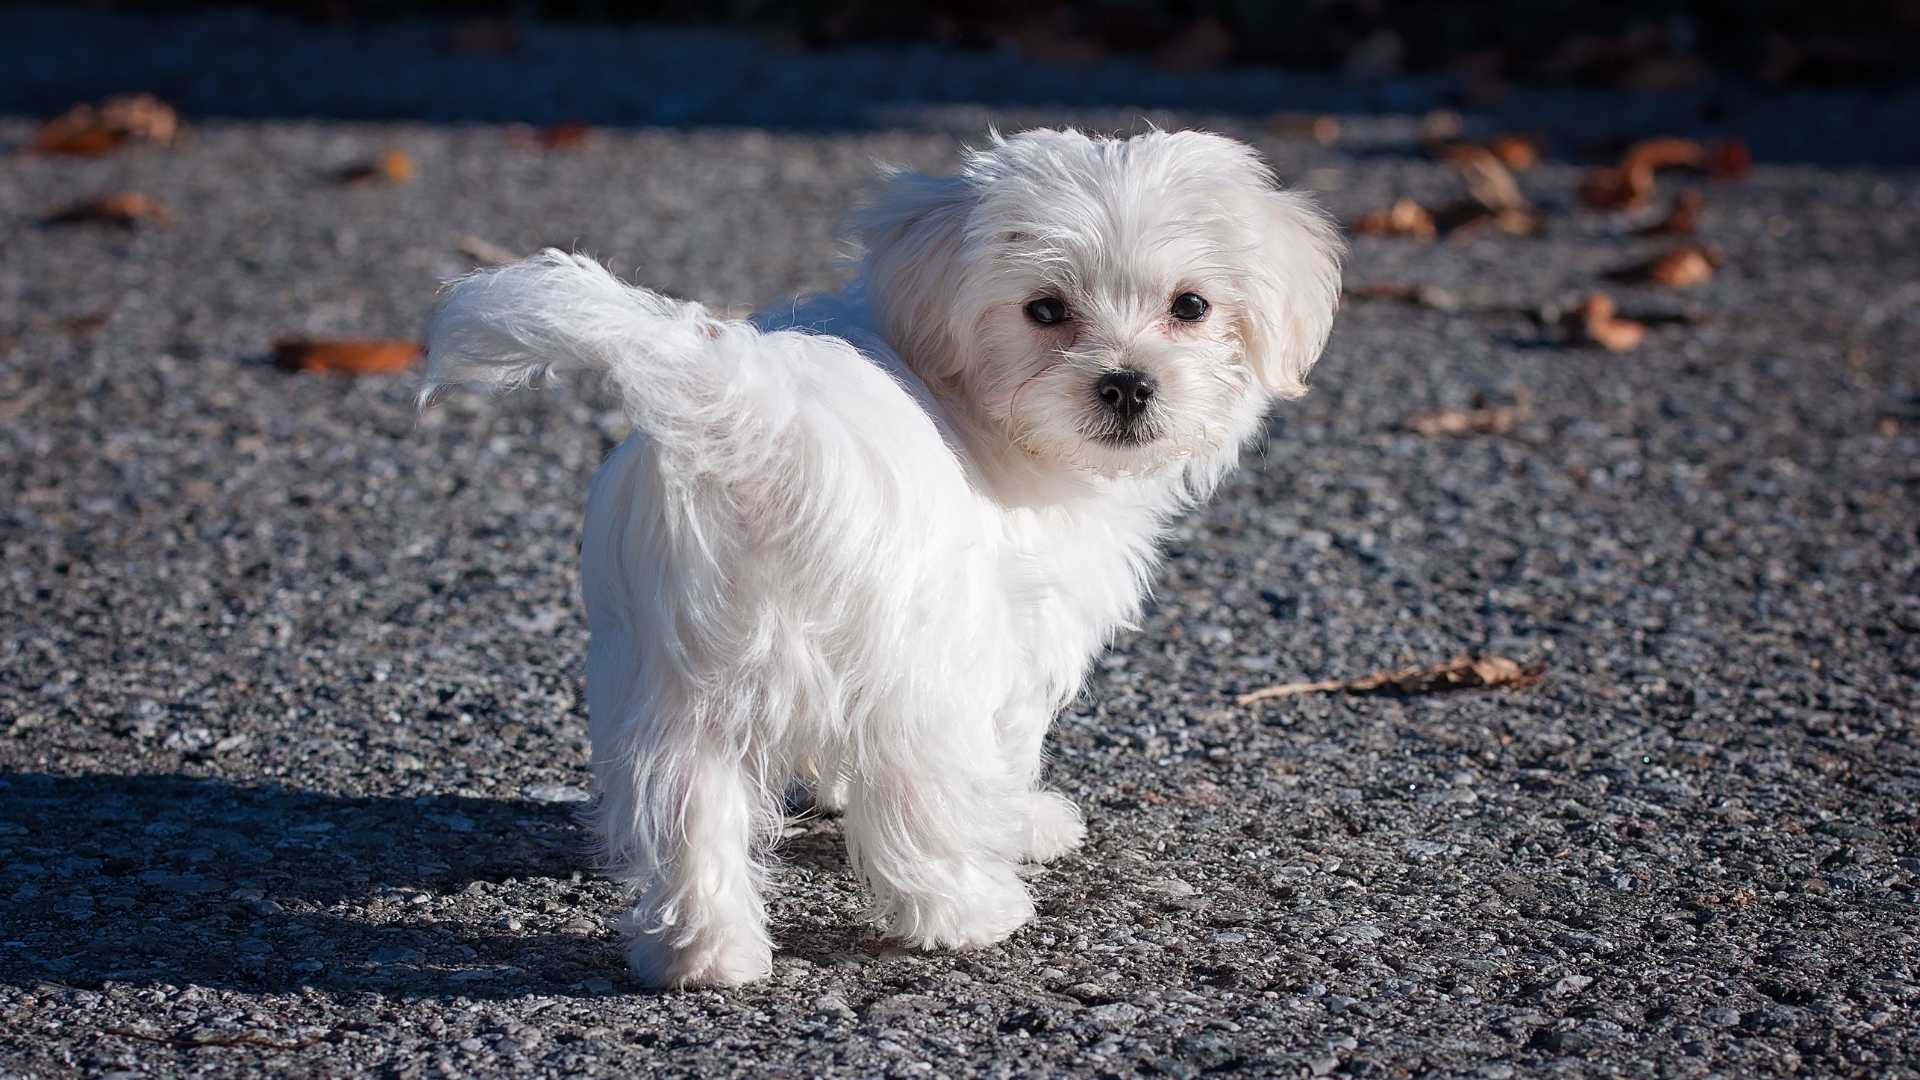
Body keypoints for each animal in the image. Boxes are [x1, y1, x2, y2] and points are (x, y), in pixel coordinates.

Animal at [418, 125, 1336, 983]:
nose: (1128, 384)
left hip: (671, 677)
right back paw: (969, 913)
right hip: (914, 664)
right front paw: (1025, 824)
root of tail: (753, 422)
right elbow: (1006, 748)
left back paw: (704, 956)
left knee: (687, 809)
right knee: (917, 798)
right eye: (1045, 310)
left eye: (1192, 306)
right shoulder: (1013, 632)